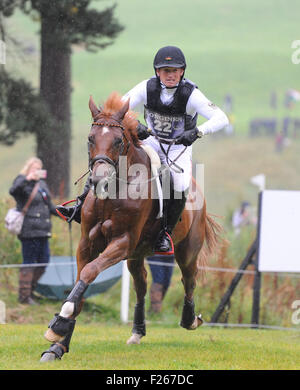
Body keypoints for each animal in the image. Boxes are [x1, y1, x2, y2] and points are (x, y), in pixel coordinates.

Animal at [40, 93, 220, 362]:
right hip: (137, 255)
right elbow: (81, 283)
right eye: (90, 139)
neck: (114, 192)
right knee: (142, 285)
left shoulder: (121, 243)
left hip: (186, 251)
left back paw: (190, 320)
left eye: (117, 141)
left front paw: (60, 322)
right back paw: (137, 331)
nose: (98, 180)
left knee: (189, 281)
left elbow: (89, 273)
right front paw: (58, 344)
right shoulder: (86, 245)